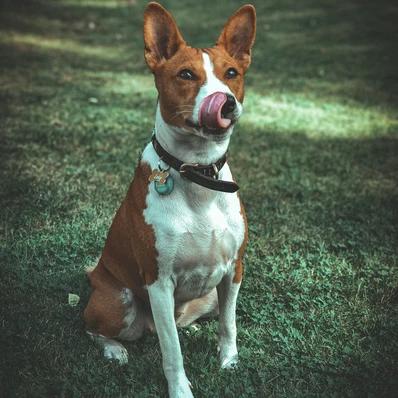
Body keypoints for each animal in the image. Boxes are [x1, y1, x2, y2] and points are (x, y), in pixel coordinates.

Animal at [84, 1, 256, 396]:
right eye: (186, 74)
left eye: (232, 73)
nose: (226, 103)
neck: (199, 174)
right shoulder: (158, 282)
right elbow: (171, 351)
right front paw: (180, 391)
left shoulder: (234, 271)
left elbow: (229, 324)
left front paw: (230, 363)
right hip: (118, 301)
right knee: (91, 327)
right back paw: (114, 349)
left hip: (208, 297)